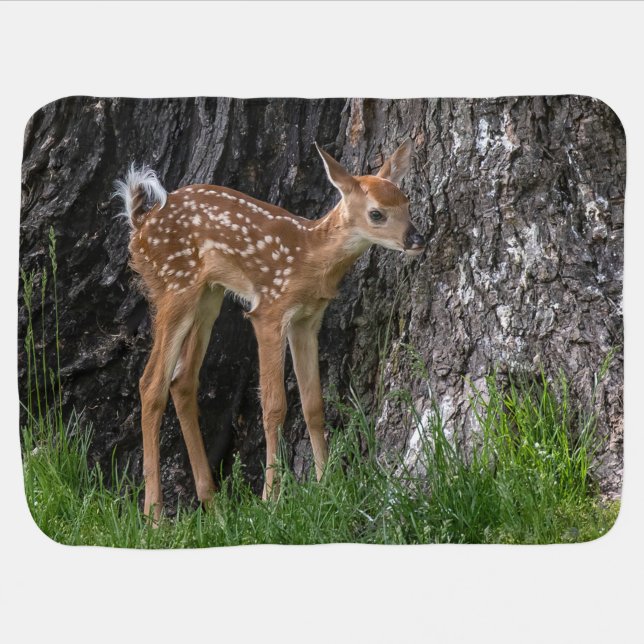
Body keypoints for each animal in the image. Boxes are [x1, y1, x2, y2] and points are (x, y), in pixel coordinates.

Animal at [115, 140, 426, 522]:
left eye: (407, 203)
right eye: (377, 214)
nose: (417, 239)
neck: (311, 256)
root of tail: (139, 223)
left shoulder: (307, 320)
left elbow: (313, 404)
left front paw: (327, 485)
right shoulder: (268, 311)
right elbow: (274, 406)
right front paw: (271, 500)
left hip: (208, 295)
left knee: (182, 381)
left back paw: (213, 504)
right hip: (175, 286)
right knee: (151, 383)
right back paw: (155, 516)